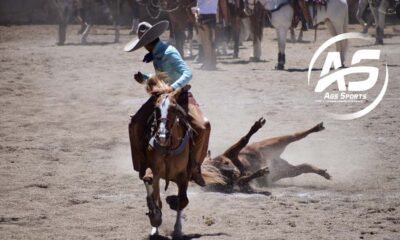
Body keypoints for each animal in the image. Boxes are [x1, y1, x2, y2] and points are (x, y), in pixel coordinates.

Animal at [141, 73, 223, 238]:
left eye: (173, 109)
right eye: (156, 108)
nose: (161, 136)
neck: (168, 147)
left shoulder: (183, 176)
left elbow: (182, 201)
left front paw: (177, 229)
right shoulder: (155, 171)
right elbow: (152, 188)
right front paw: (155, 218)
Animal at [203, 117, 332, 194]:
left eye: (226, 162)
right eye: (223, 173)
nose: (235, 172)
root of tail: (276, 160)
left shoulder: (231, 152)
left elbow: (243, 140)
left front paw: (256, 126)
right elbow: (244, 181)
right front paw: (260, 173)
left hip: (276, 142)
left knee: (296, 136)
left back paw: (317, 128)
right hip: (286, 169)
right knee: (304, 166)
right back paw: (323, 173)